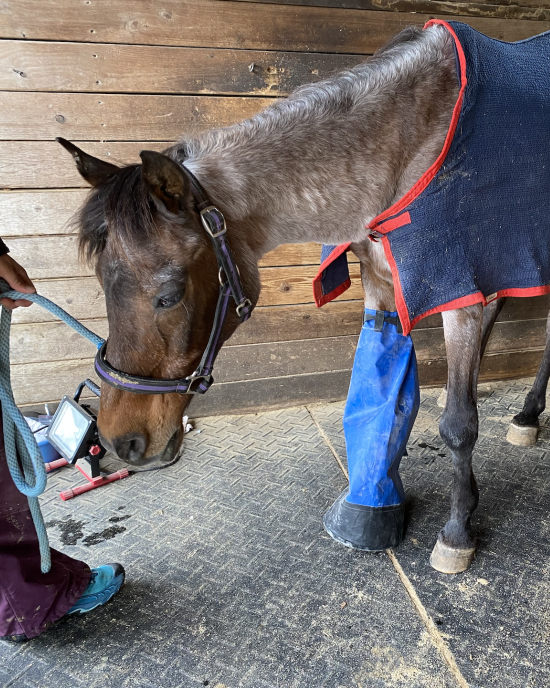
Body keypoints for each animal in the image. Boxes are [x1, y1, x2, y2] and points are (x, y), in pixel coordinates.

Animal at [56, 20, 550, 575]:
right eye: (103, 284)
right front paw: (372, 506)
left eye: (168, 294)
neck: (406, 144)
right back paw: (527, 416)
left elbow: (459, 426)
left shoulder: (457, 290)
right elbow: (378, 391)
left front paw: (458, 530)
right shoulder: (383, 285)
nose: (121, 440)